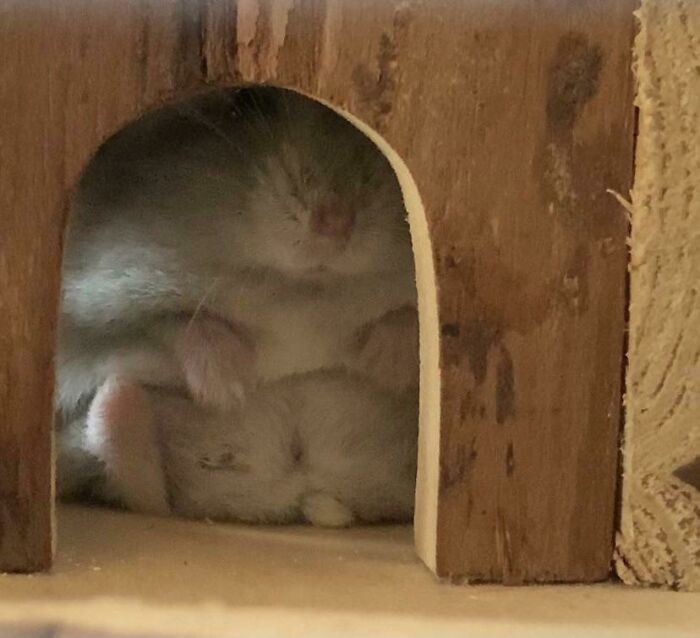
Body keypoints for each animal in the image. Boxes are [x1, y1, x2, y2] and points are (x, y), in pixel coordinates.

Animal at [58, 87, 416, 424]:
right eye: (246, 101)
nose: (336, 224)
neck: (297, 291)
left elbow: (407, 314)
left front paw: (386, 368)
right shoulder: (90, 305)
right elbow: (167, 321)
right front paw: (232, 389)